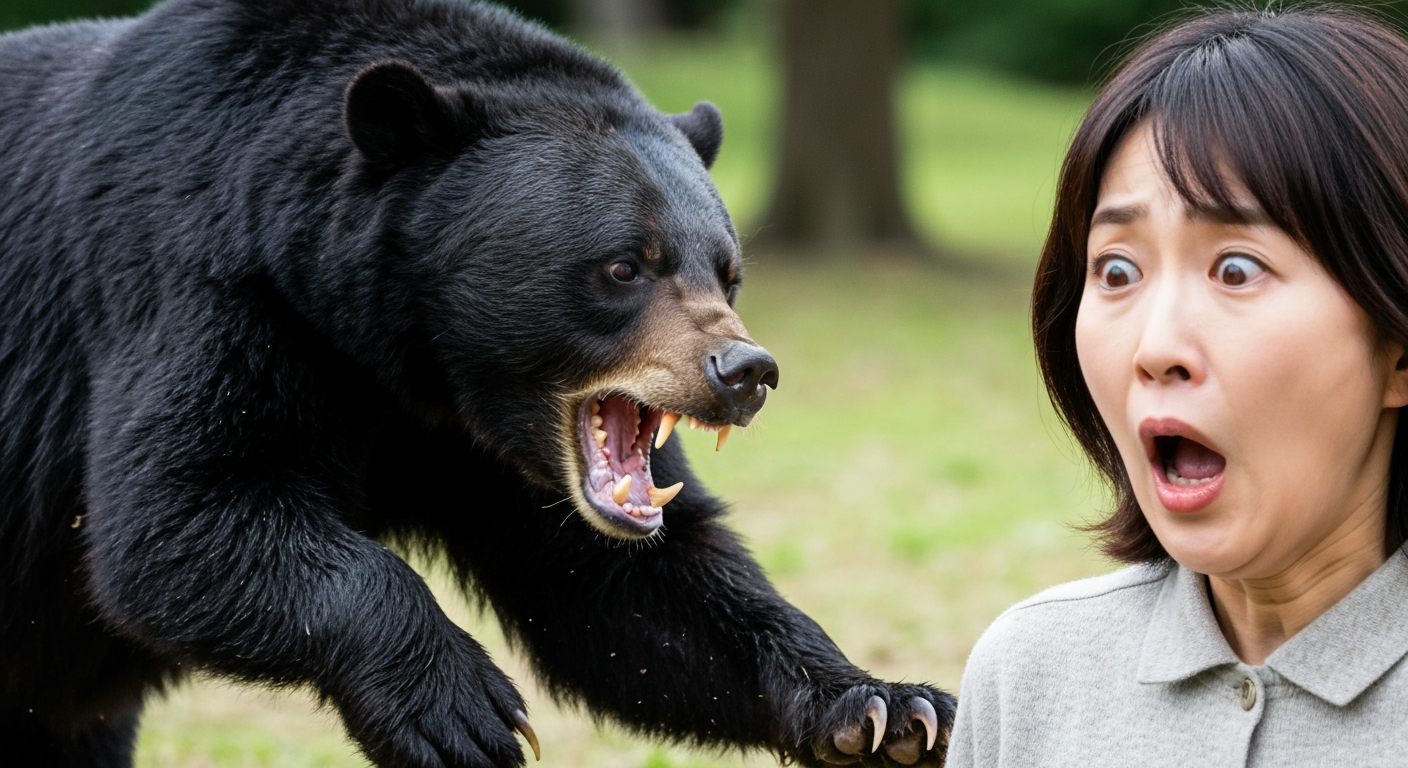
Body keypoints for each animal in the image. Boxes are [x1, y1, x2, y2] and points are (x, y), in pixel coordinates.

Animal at [0, 0, 956, 766]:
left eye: (727, 273)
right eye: (624, 265)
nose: (745, 372)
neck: (418, 362)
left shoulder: (483, 457)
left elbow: (632, 596)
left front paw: (886, 707)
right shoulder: (203, 286)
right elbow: (178, 515)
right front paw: (462, 708)